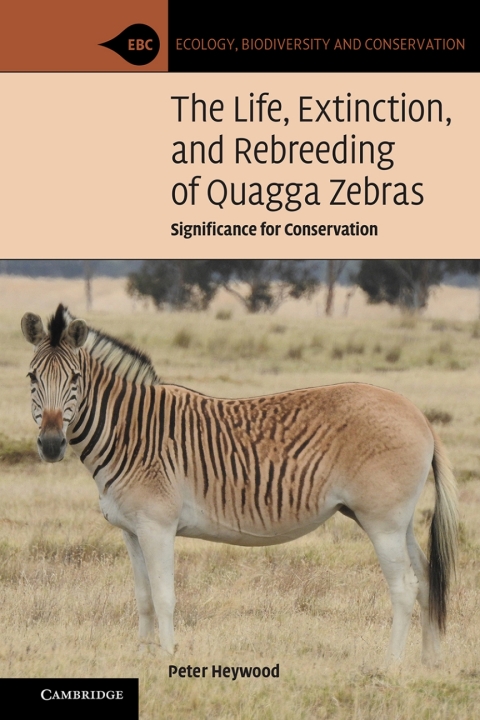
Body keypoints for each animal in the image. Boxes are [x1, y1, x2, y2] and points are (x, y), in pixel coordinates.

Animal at [21, 304, 458, 665]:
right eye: (31, 377)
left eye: (75, 379)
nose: (51, 445)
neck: (131, 434)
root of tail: (419, 415)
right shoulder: (131, 530)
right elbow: (143, 598)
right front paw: (142, 658)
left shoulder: (156, 526)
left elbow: (164, 597)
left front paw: (167, 657)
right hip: (398, 520)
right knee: (425, 579)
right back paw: (430, 662)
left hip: (382, 521)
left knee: (403, 587)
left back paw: (390, 665)